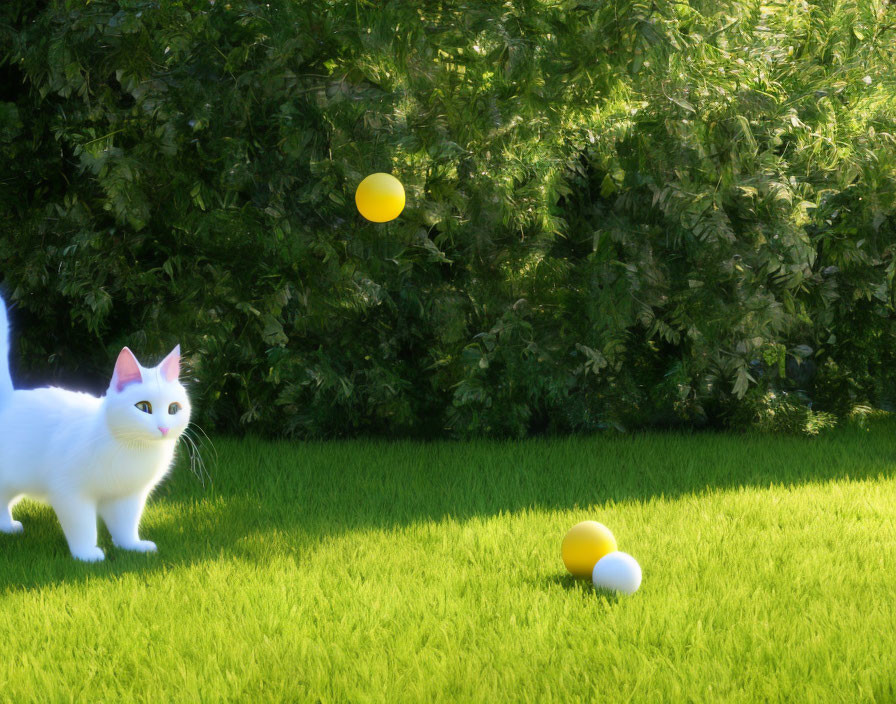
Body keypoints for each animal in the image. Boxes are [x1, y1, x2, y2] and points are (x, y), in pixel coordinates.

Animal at [0, 292, 191, 560]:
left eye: (174, 409)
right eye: (144, 407)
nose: (163, 428)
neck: (132, 450)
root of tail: (7, 399)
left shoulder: (127, 498)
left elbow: (126, 526)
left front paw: (132, 547)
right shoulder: (71, 494)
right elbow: (83, 528)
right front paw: (87, 555)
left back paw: (7, 527)